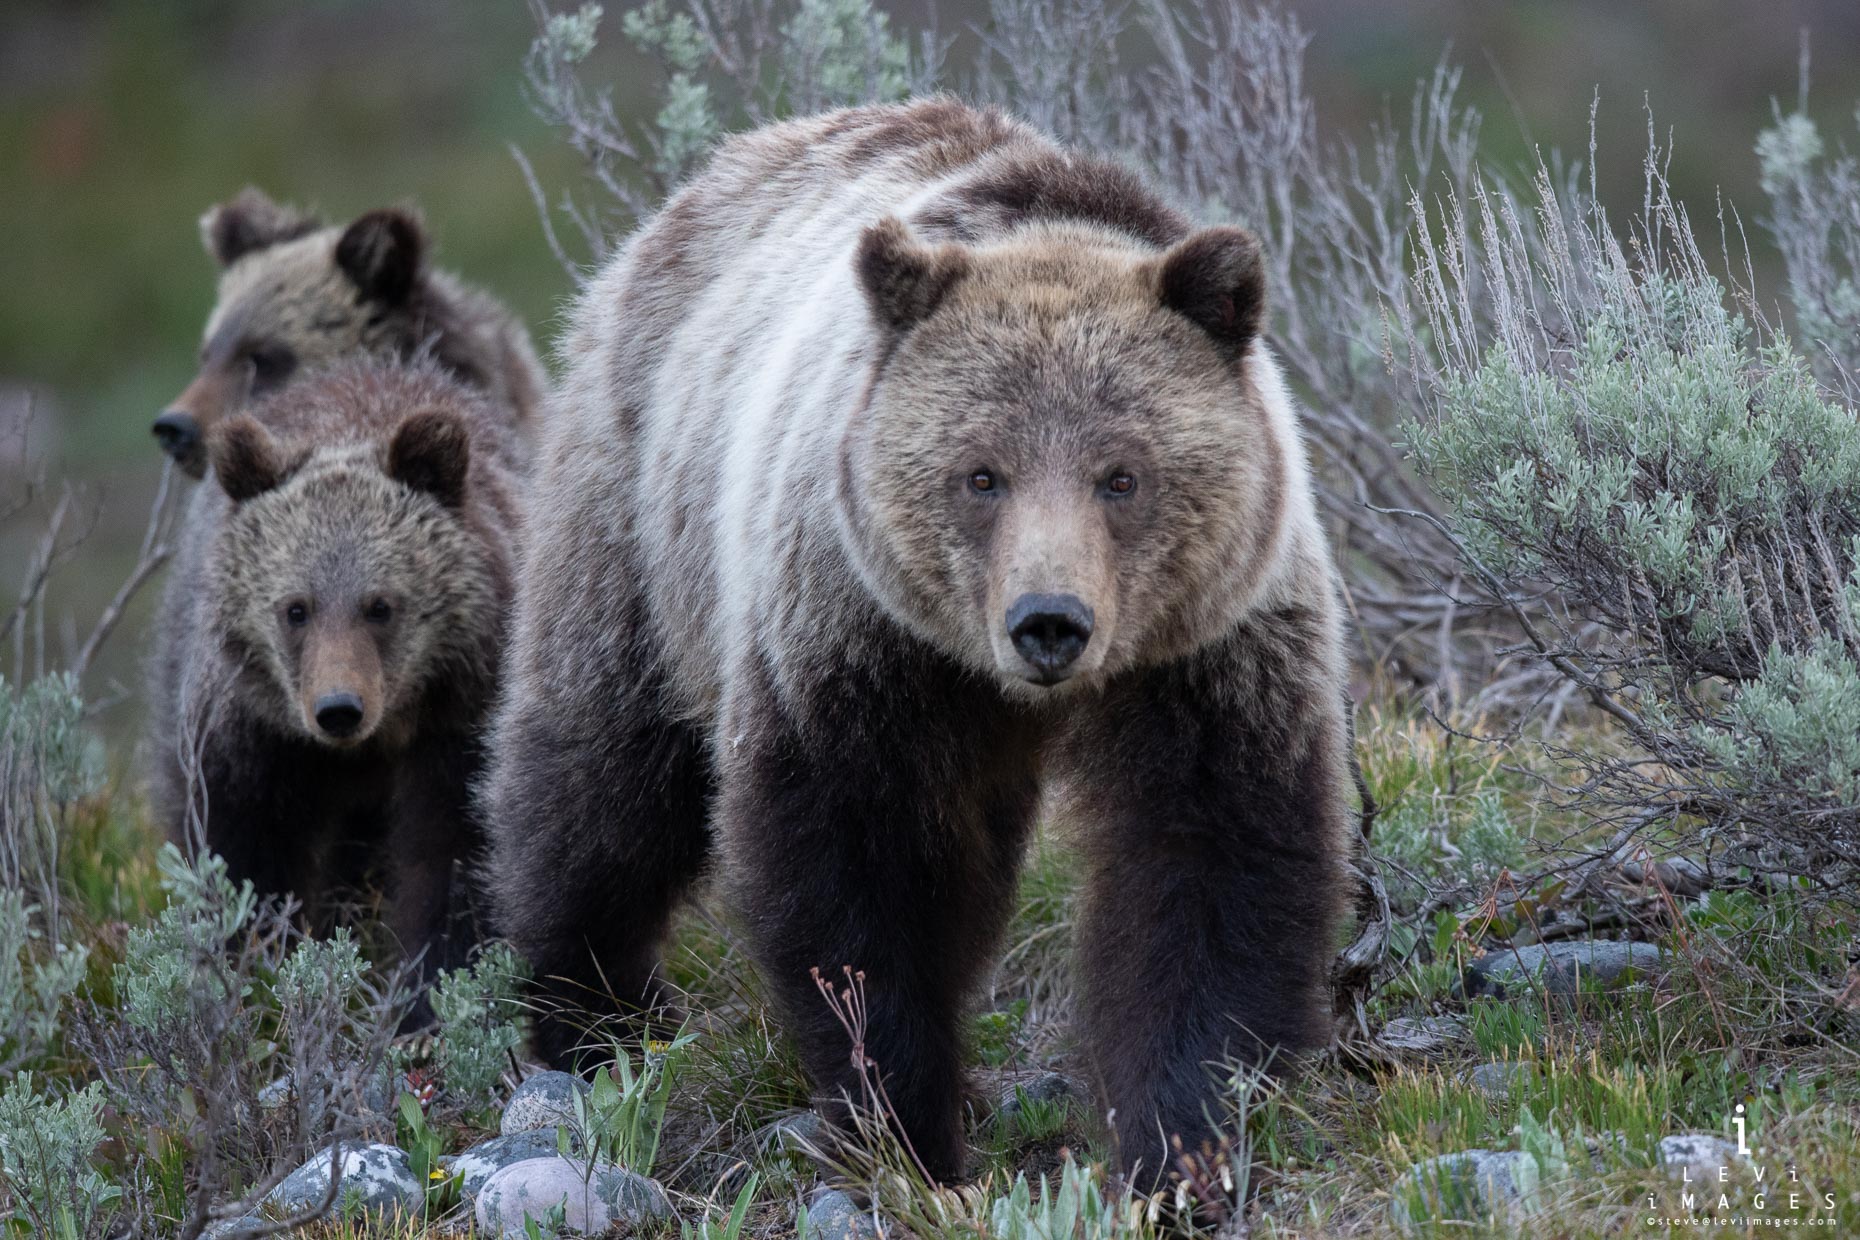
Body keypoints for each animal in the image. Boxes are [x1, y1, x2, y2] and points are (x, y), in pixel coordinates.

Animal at [143, 360, 524, 989]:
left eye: (380, 606)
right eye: (296, 609)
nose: (338, 709)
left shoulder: (457, 724)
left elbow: (453, 858)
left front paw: (435, 985)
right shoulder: (254, 734)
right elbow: (243, 856)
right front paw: (254, 962)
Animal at [487, 99, 1346, 1182]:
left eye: (1122, 475)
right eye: (981, 474)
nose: (1050, 621)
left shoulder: (1210, 647)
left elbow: (1210, 862)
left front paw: (1181, 1134)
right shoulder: (858, 639)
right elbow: (860, 869)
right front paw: (908, 1122)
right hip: (639, 519)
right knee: (601, 772)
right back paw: (592, 1014)